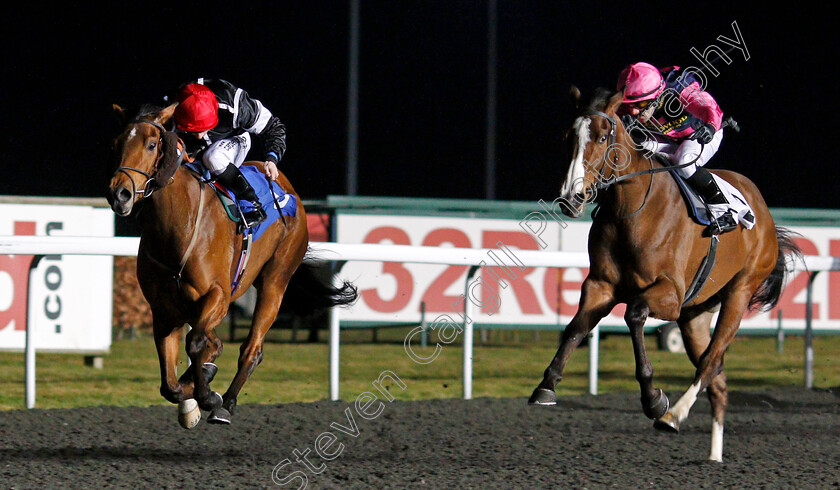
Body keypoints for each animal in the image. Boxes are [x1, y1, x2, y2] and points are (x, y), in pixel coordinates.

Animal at [106, 104, 356, 428]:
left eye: (151, 144)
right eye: (116, 145)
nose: (119, 194)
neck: (179, 226)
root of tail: (286, 187)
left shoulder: (218, 295)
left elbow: (196, 342)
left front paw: (208, 395)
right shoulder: (163, 311)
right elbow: (170, 384)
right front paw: (194, 392)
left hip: (275, 282)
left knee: (251, 348)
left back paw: (227, 403)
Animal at [532, 86, 800, 462]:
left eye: (602, 137)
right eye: (567, 137)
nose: (571, 197)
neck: (630, 209)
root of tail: (762, 211)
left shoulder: (670, 294)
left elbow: (634, 314)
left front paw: (654, 399)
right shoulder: (601, 285)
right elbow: (575, 327)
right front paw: (546, 385)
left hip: (740, 290)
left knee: (710, 362)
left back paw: (673, 415)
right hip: (695, 313)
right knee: (717, 379)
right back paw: (713, 456)